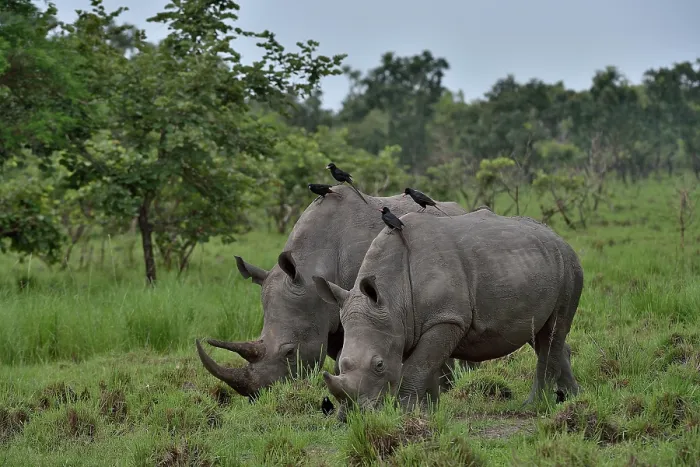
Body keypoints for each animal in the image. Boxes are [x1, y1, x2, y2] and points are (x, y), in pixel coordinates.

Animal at [195, 185, 469, 398]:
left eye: (290, 352)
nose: (257, 394)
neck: (312, 265)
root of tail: (459, 209)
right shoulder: (329, 315)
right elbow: (340, 356)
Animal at [314, 209, 583, 414]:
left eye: (379, 365)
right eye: (340, 364)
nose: (351, 416)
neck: (392, 297)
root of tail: (560, 238)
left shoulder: (447, 319)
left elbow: (416, 368)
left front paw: (405, 412)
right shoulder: (413, 324)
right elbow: (427, 369)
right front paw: (429, 413)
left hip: (569, 267)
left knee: (553, 331)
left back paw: (534, 406)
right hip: (538, 266)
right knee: (539, 334)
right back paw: (573, 399)